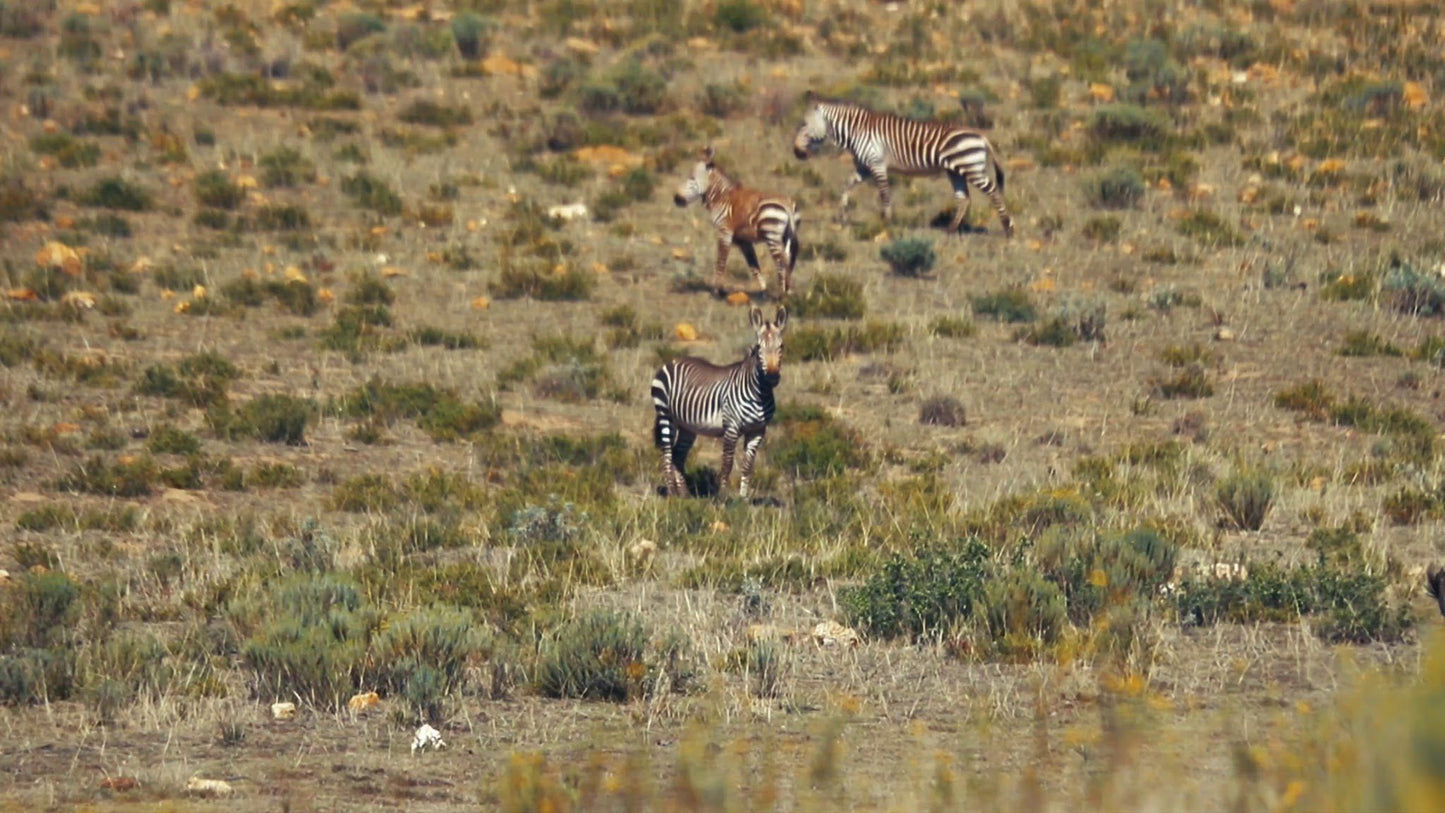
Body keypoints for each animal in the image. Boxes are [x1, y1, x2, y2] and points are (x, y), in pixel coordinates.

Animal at [653, 303, 791, 496]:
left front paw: (743, 498)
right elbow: (727, 464)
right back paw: (673, 494)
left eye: (781, 346)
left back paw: (685, 495)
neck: (760, 395)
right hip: (665, 414)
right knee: (666, 455)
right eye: (758, 347)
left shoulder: (758, 430)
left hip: (687, 425)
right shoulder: (731, 427)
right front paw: (723, 497)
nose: (772, 377)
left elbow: (748, 466)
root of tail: (673, 361)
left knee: (678, 455)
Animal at [673, 147, 803, 298]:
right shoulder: (743, 240)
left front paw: (717, 291)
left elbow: (721, 262)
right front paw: (763, 290)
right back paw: (786, 292)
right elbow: (753, 265)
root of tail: (787, 204)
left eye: (691, 178)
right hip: (788, 236)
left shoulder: (724, 232)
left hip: (772, 235)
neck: (720, 197)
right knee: (789, 259)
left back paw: (781, 295)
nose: (676, 199)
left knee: (781, 262)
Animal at [791, 94, 1017, 238]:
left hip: (971, 168)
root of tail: (982, 136)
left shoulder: (877, 164)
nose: (796, 153)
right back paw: (951, 230)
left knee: (993, 191)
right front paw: (842, 215)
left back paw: (1008, 228)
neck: (855, 131)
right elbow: (846, 185)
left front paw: (885, 221)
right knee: (963, 198)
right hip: (955, 171)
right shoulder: (864, 167)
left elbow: (884, 193)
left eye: (804, 125)